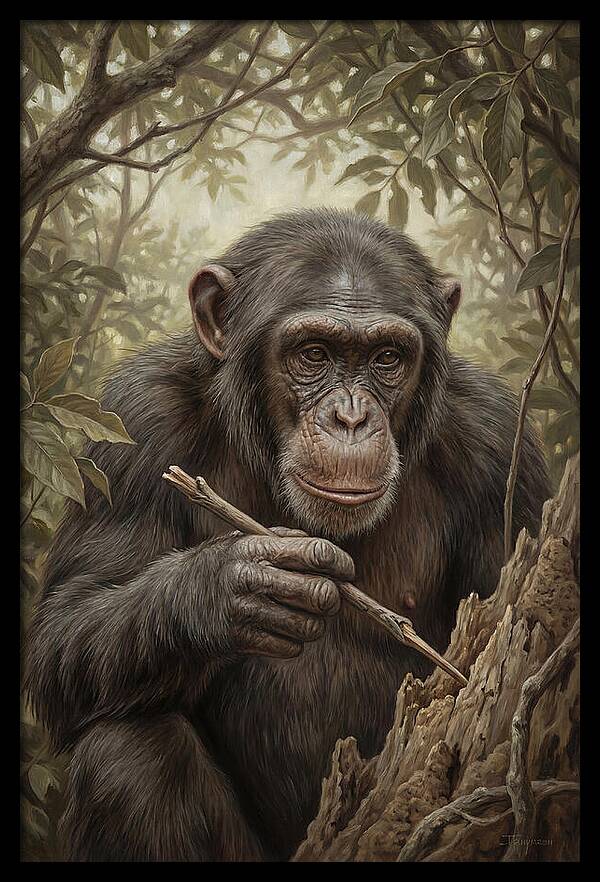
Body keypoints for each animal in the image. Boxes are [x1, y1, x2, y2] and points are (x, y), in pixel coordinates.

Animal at [25, 208, 550, 862]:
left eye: (386, 359)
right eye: (313, 354)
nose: (350, 417)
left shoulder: (501, 449)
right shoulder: (135, 421)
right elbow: (64, 628)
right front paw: (233, 588)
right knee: (127, 754)